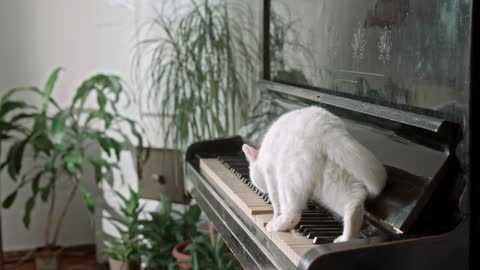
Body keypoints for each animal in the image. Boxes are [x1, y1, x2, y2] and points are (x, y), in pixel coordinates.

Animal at [244, 106, 386, 243]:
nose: (262, 190)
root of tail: (325, 128)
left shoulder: (270, 175)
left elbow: (275, 203)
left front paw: (275, 216)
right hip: (332, 179)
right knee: (353, 203)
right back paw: (347, 237)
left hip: (288, 178)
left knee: (292, 213)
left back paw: (278, 224)